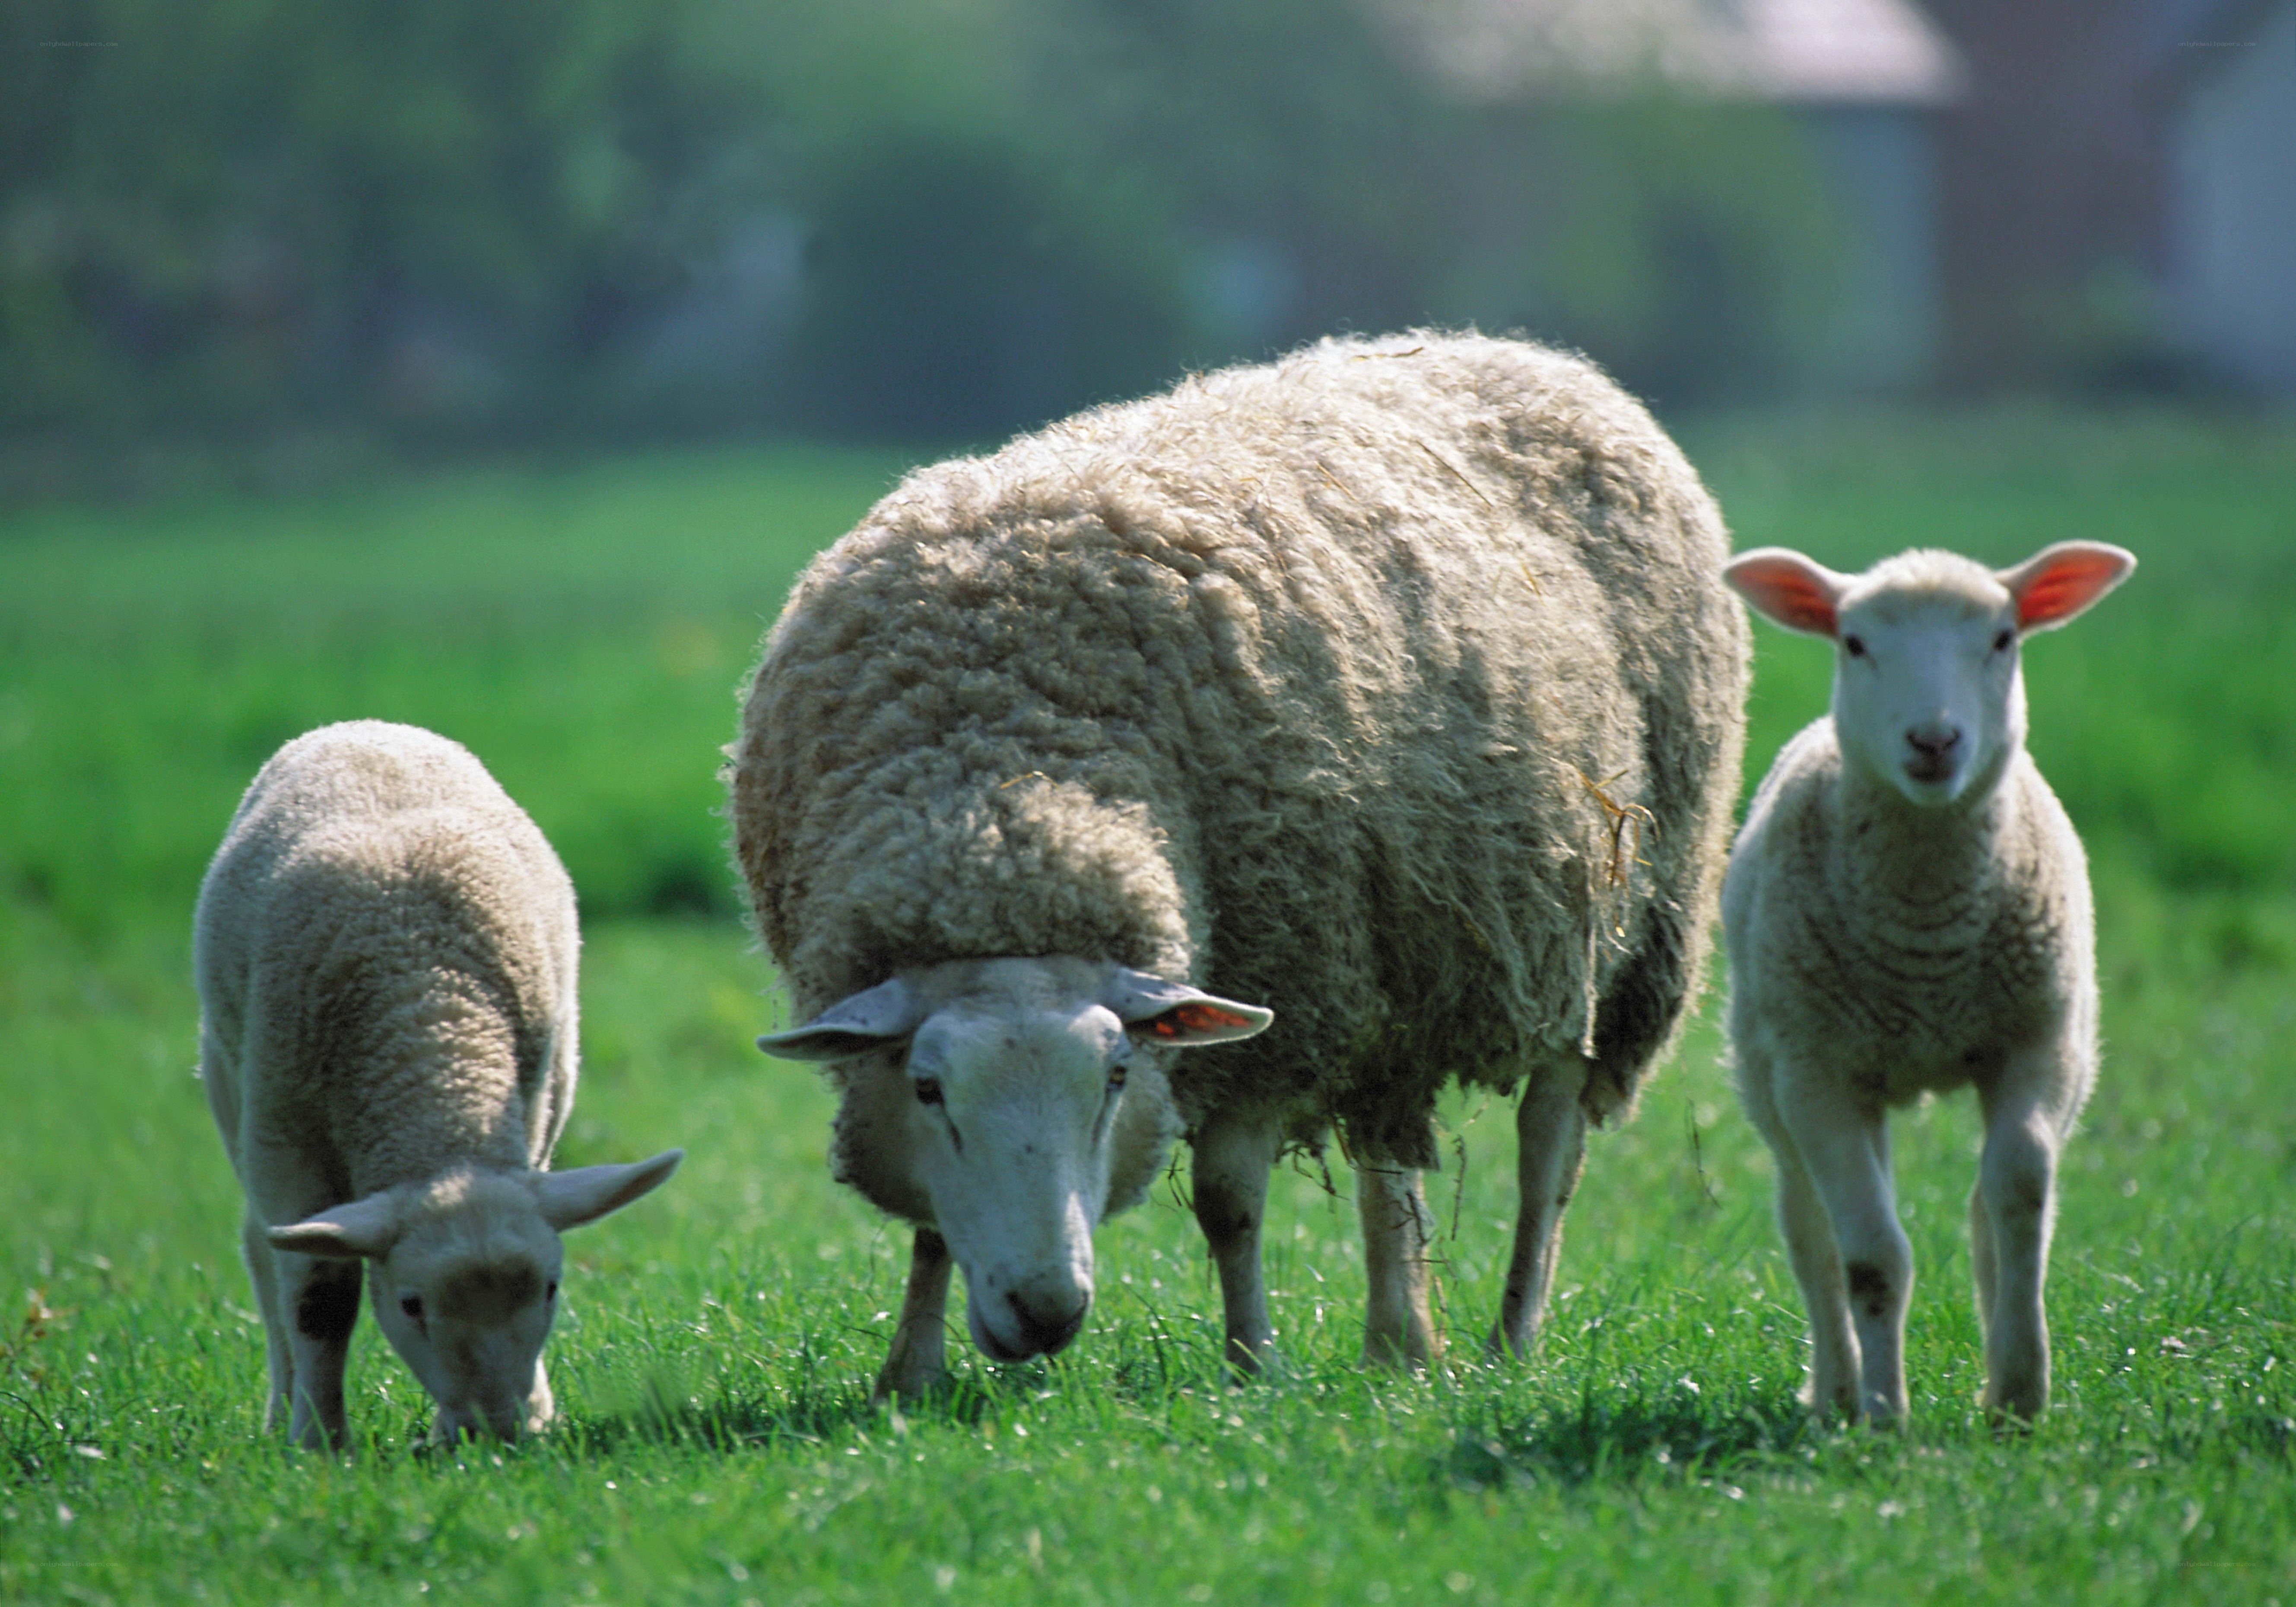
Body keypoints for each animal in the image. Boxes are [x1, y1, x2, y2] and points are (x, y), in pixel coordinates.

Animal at [196, 720, 683, 1449]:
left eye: (551, 1289)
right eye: (411, 1305)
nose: (495, 1433)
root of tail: (362, 726)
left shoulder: (533, 1109)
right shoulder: (282, 1131)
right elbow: (319, 1295)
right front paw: (319, 1440)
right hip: (227, 1080)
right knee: (263, 1248)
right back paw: (283, 1407)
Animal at [730, 331, 1751, 1395]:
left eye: (1114, 1079)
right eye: (930, 1089)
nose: (1047, 1313)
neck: (999, 805)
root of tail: (1535, 355)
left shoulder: (1280, 987)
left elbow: (1229, 1204)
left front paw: (1252, 1364)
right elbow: (933, 1222)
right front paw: (912, 1374)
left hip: (1608, 936)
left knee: (1547, 1150)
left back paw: (1508, 1336)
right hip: (1393, 950)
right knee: (1388, 1144)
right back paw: (1399, 1342)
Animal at [1721, 541, 2135, 1423]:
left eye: (2003, 639)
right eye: (1853, 644)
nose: (1934, 740)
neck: (1926, 948)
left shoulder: (2039, 1042)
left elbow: (2018, 1197)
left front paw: (2018, 1390)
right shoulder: (1818, 1073)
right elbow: (1872, 1253)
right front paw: (1884, 1415)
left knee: (1980, 1211)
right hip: (1773, 1073)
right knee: (1810, 1229)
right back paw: (1837, 1391)